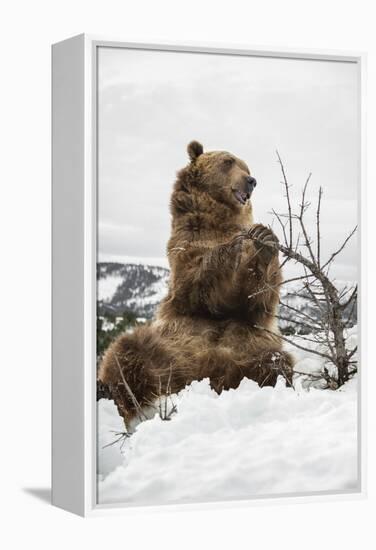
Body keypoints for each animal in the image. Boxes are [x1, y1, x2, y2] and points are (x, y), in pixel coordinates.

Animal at [98, 141, 296, 432]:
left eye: (246, 166)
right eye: (228, 162)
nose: (251, 180)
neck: (218, 220)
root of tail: (202, 372)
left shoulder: (251, 314)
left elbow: (256, 301)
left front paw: (264, 240)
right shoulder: (186, 245)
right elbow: (199, 285)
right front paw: (234, 246)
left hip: (246, 344)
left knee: (273, 361)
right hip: (167, 344)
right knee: (126, 351)